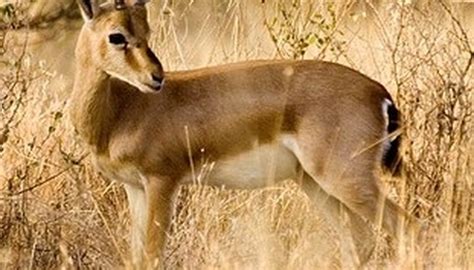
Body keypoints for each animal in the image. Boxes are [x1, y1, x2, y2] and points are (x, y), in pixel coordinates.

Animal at [69, 0, 418, 266]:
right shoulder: (135, 189)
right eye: (117, 36)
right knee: (360, 239)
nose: (156, 77)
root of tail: (379, 93)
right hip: (314, 183)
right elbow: (137, 257)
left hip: (345, 179)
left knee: (409, 227)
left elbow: (153, 257)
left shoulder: (162, 182)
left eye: (146, 32)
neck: (123, 111)